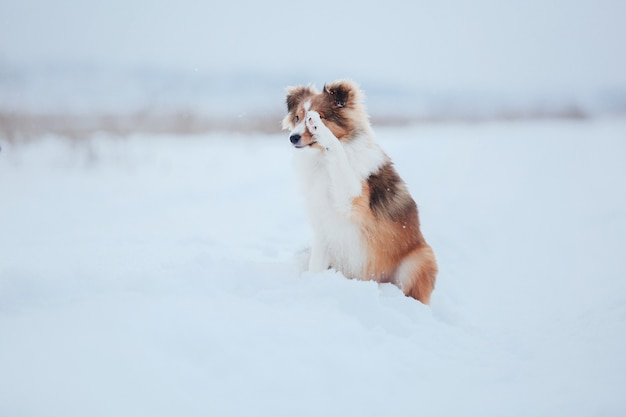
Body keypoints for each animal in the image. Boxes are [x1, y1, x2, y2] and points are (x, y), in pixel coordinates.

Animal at [280, 79, 436, 304]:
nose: (293, 138)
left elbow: (337, 152)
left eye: (320, 116)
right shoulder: (322, 227)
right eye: (297, 117)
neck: (322, 163)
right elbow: (316, 264)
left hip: (419, 259)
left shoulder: (352, 199)